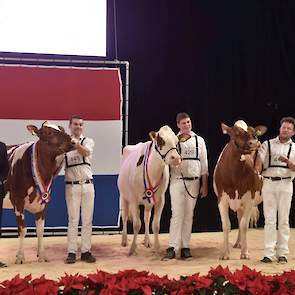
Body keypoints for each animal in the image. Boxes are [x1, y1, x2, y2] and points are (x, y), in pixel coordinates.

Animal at [4, 121, 74, 264]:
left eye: (62, 129)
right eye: (49, 132)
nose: (72, 141)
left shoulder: (44, 202)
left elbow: (40, 230)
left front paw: (42, 255)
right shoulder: (17, 200)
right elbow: (22, 230)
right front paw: (20, 257)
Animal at [118, 125, 190, 256]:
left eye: (177, 142)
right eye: (161, 140)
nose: (176, 158)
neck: (152, 172)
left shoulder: (160, 200)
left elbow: (155, 224)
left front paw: (156, 247)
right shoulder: (133, 200)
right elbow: (136, 224)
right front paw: (132, 249)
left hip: (148, 203)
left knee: (146, 218)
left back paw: (147, 241)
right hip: (123, 196)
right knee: (125, 216)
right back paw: (124, 240)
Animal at [214, 121, 268, 260]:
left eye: (254, 133)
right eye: (236, 132)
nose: (254, 143)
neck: (235, 175)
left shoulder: (249, 199)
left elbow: (244, 225)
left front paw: (245, 252)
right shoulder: (222, 199)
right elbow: (226, 225)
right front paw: (225, 253)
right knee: (239, 218)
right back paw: (238, 243)